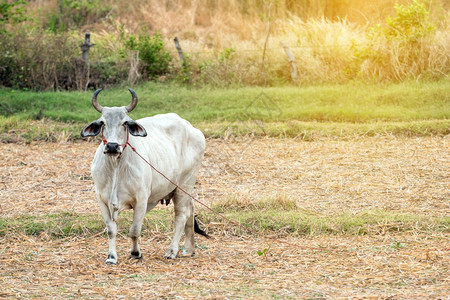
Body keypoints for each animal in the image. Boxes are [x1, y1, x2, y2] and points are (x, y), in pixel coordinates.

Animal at [81, 88, 207, 264]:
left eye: (125, 123)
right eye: (103, 122)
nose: (112, 146)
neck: (116, 168)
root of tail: (190, 127)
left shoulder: (141, 199)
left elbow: (134, 230)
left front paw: (136, 253)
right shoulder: (102, 200)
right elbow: (111, 230)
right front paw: (111, 257)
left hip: (185, 184)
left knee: (181, 216)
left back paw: (172, 251)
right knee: (190, 211)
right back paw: (189, 249)